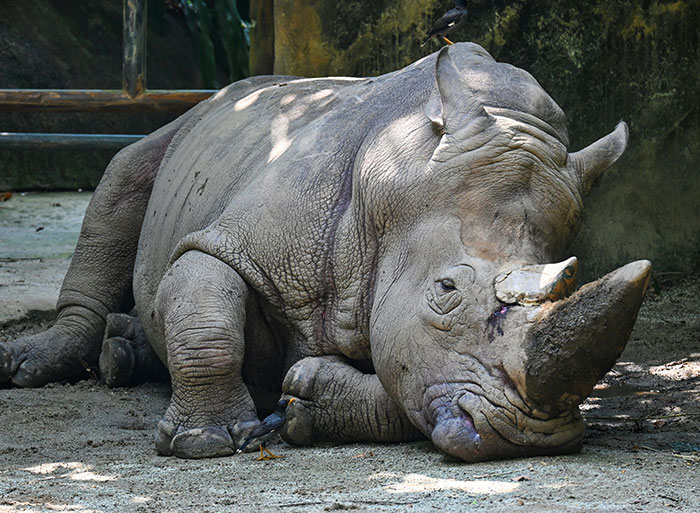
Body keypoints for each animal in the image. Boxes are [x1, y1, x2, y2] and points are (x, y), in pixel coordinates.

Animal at [0, 43, 651, 462]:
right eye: (446, 292)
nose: (531, 437)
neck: (394, 192)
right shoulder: (239, 241)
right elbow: (206, 303)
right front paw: (204, 444)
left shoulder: (417, 353)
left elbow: (407, 385)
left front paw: (305, 401)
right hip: (191, 124)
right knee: (125, 174)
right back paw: (38, 367)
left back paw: (123, 354)